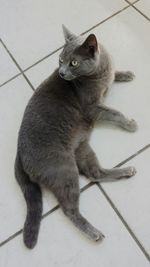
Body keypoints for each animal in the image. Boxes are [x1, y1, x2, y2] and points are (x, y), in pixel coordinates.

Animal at [14, 25, 138, 249]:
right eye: (60, 60)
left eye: (73, 62)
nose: (62, 73)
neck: (99, 73)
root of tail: (18, 153)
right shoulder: (92, 108)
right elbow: (114, 113)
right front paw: (130, 124)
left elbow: (114, 74)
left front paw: (125, 74)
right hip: (64, 169)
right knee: (69, 209)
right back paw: (94, 232)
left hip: (82, 148)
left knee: (95, 173)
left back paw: (126, 170)